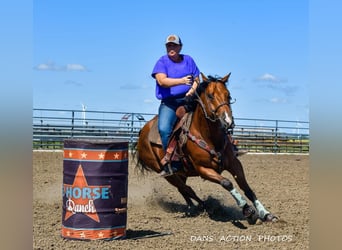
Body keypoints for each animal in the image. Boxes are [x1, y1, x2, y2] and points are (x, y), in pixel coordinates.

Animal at [134, 72, 278, 223]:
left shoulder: (234, 164)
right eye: (210, 96)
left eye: (228, 95)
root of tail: (142, 133)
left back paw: (193, 207)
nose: (227, 121)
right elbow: (227, 183)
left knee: (183, 189)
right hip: (166, 173)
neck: (209, 137)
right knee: (187, 189)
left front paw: (265, 213)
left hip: (181, 173)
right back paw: (206, 206)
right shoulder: (203, 169)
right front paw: (246, 209)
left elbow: (247, 187)